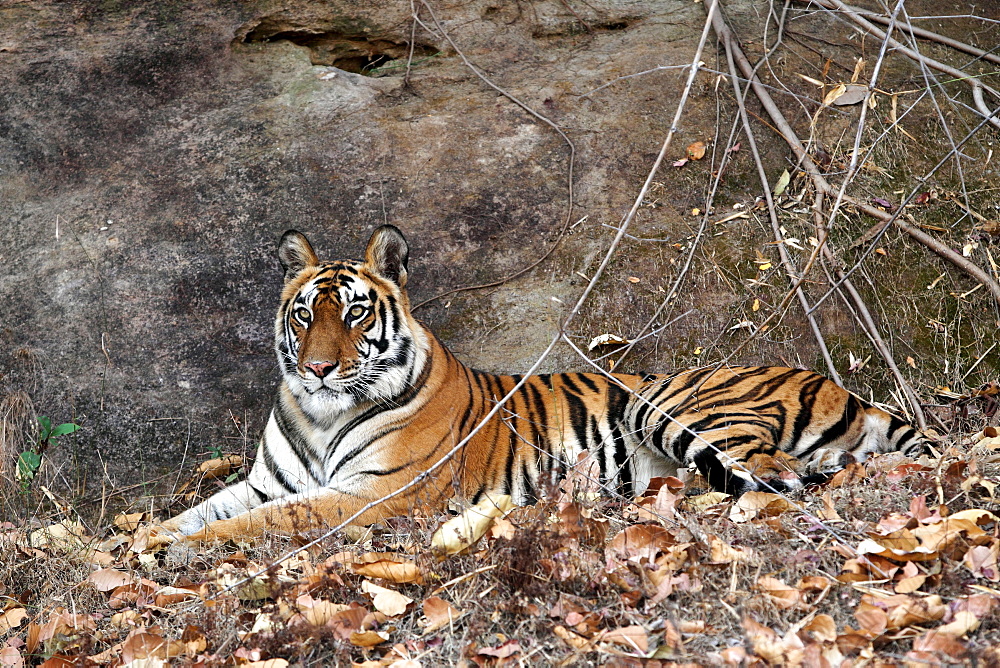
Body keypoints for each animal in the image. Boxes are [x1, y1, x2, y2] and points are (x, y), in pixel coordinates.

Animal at [156, 224, 928, 544]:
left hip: (676, 408)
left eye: (354, 313)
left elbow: (270, 522)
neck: (319, 416)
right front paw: (151, 541)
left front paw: (183, 550)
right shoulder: (263, 482)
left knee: (777, 478)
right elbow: (202, 510)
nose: (317, 368)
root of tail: (838, 386)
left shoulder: (375, 492)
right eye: (303, 314)